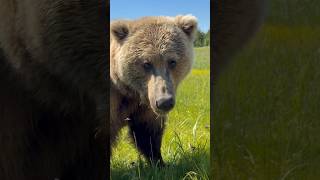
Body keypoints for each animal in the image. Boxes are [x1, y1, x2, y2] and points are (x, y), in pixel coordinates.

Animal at [109, 15, 196, 166]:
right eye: (146, 63)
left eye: (172, 61)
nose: (164, 102)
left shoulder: (145, 103)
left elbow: (147, 131)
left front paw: (159, 162)